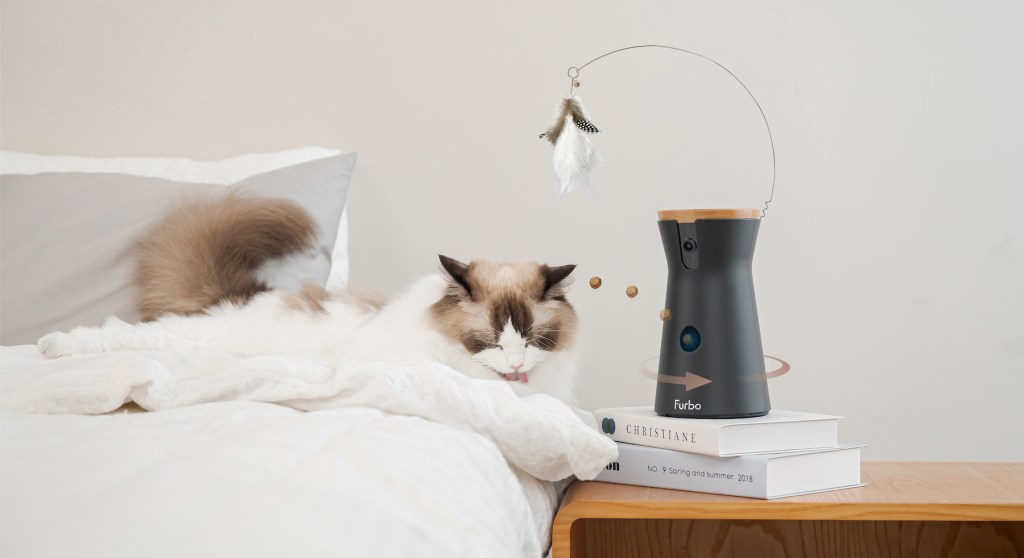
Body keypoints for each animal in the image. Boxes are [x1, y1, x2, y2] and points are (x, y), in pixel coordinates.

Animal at [36, 193, 581, 403]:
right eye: (488, 342)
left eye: (533, 340)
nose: (515, 365)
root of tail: (248, 295)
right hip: (187, 339)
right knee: (116, 334)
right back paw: (50, 347)